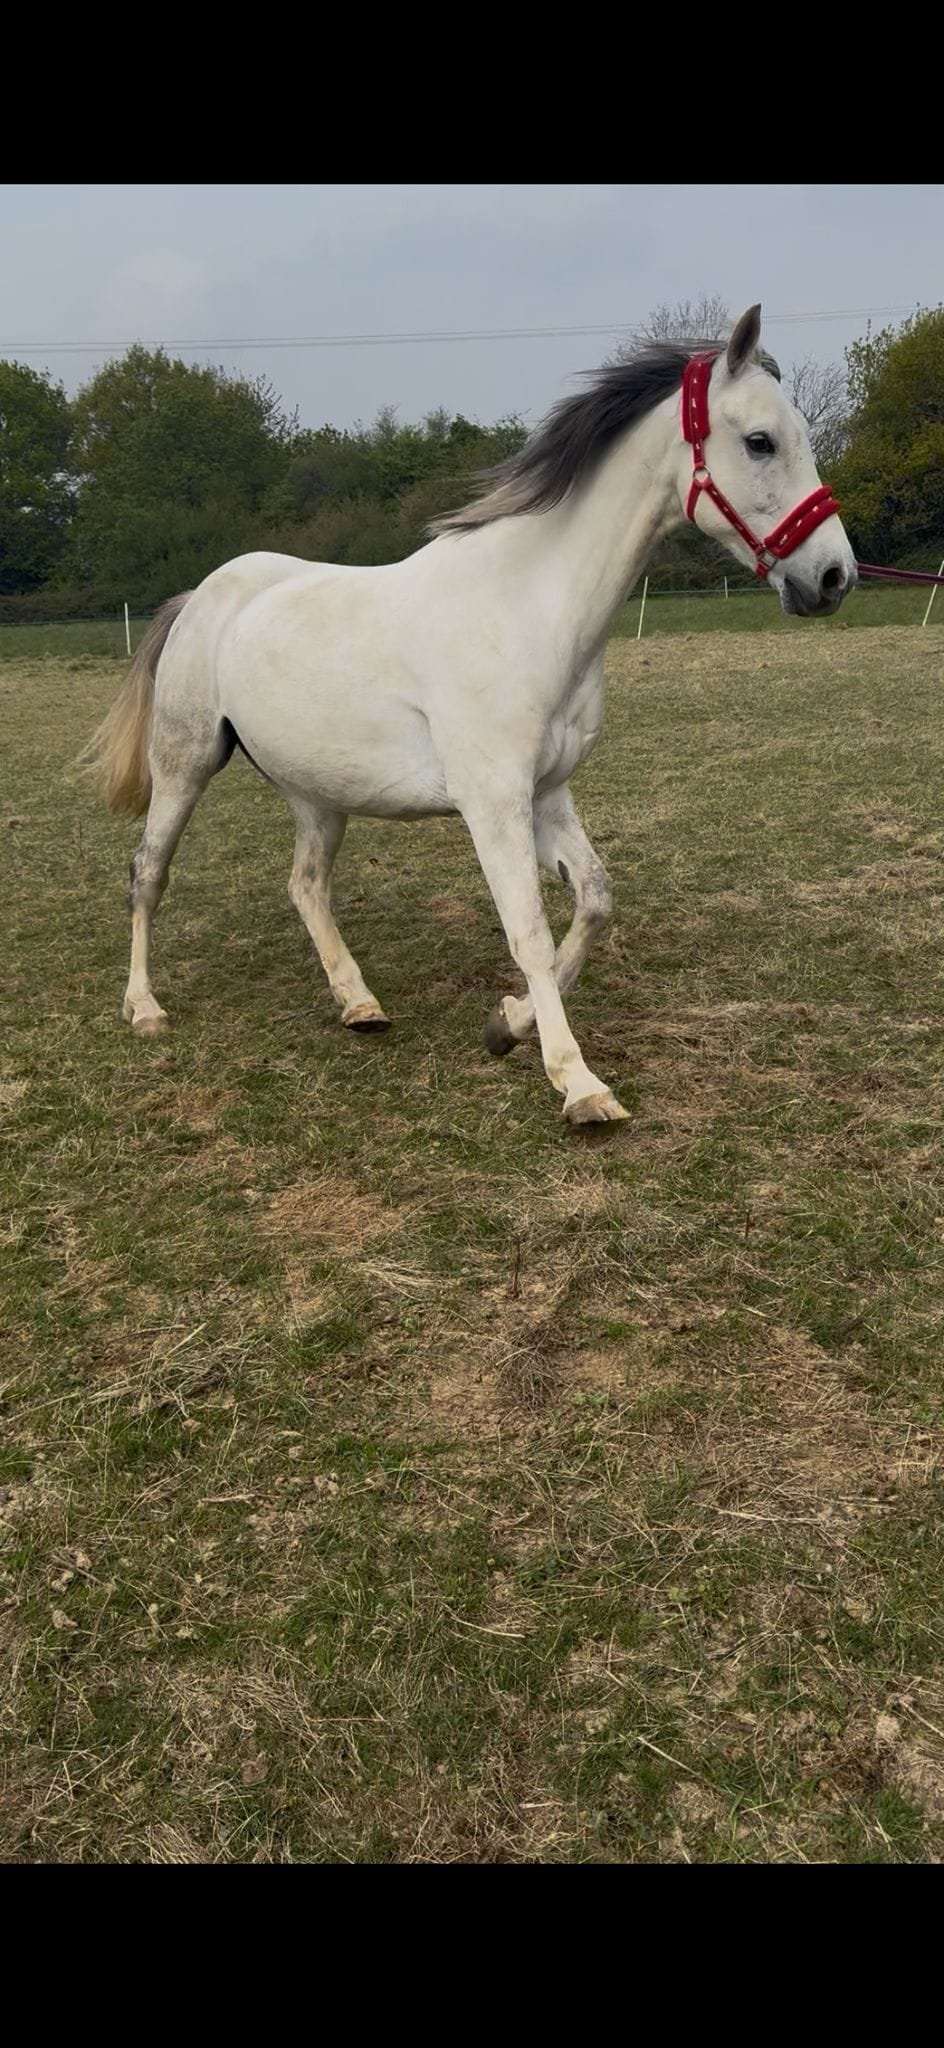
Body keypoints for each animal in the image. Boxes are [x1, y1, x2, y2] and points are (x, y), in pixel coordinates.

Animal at [81, 304, 856, 1125]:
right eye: (760, 440)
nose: (834, 577)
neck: (528, 607)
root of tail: (204, 595)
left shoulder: (546, 793)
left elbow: (595, 900)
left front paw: (507, 1024)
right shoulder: (493, 803)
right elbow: (529, 931)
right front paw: (578, 1083)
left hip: (317, 793)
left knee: (306, 886)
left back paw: (359, 1003)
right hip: (184, 766)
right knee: (148, 873)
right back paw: (145, 1007)